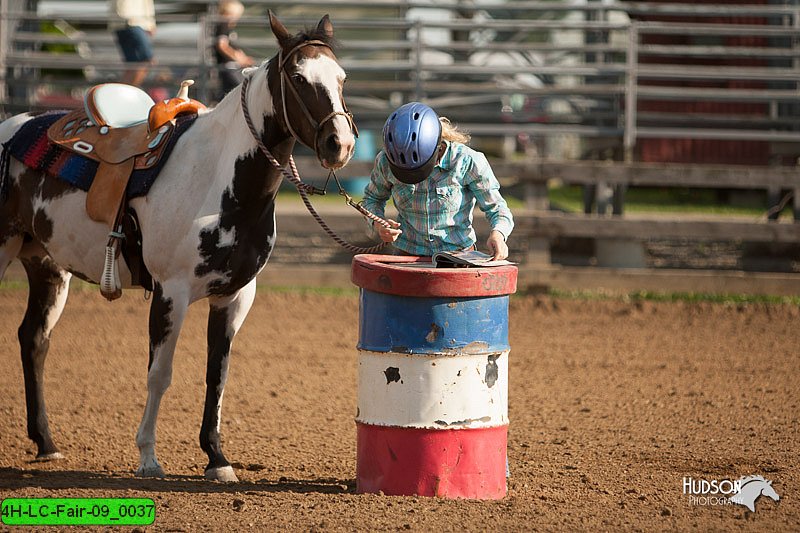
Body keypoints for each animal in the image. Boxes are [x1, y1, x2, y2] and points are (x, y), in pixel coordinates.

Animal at [0, 11, 356, 482]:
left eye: (342, 77)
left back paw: (46, 443)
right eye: (298, 77)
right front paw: (148, 457)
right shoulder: (172, 292)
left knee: (35, 339)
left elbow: (217, 374)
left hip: (47, 266)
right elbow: (160, 374)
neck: (217, 177)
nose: (340, 144)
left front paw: (217, 458)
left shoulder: (234, 296)